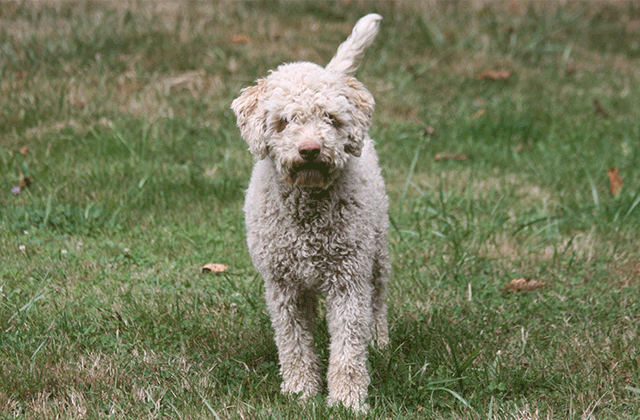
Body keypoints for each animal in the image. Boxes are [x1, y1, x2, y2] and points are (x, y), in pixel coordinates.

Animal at [231, 13, 390, 410]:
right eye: (284, 121)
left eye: (330, 118)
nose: (310, 150)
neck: (308, 209)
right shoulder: (283, 285)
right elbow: (293, 344)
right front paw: (301, 391)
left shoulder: (348, 280)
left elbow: (348, 347)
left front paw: (347, 400)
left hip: (377, 249)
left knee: (378, 299)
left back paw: (379, 342)